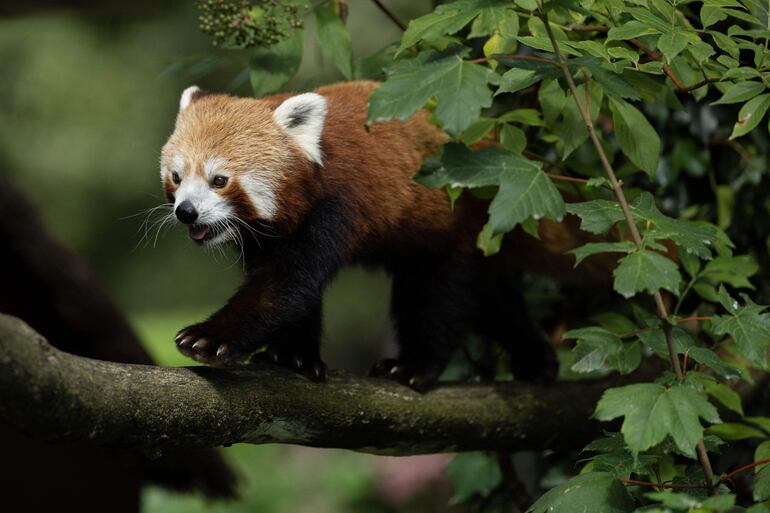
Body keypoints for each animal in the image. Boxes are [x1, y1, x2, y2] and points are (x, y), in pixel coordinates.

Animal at [162, 81, 556, 388]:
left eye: (219, 180)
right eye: (177, 177)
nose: (186, 212)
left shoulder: (336, 206)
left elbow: (285, 286)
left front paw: (210, 336)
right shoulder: (265, 239)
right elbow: (297, 295)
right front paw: (294, 356)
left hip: (457, 225)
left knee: (440, 296)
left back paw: (415, 365)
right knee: (491, 300)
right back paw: (538, 361)